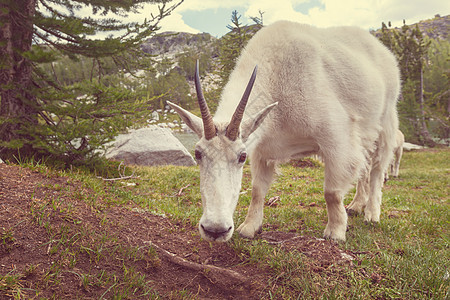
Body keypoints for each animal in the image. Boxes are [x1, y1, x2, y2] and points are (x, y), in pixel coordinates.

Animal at [167, 20, 400, 241]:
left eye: (242, 156)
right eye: (198, 154)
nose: (215, 230)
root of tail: (384, 52)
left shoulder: (337, 138)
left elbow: (332, 192)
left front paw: (335, 232)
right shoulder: (262, 149)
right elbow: (257, 190)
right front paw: (249, 227)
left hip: (386, 121)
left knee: (377, 169)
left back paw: (372, 213)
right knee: (366, 166)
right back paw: (356, 205)